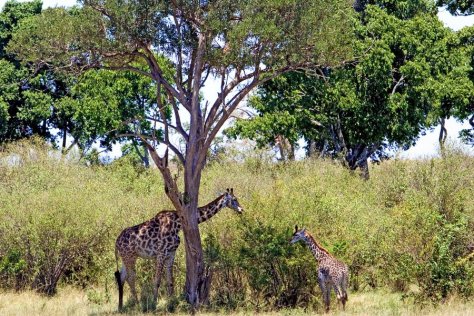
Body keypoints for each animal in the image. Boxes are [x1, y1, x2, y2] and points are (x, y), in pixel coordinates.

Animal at [113, 188, 243, 308]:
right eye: (234, 199)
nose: (242, 210)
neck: (178, 224)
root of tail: (116, 242)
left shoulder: (171, 253)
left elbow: (170, 281)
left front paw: (172, 302)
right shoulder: (161, 253)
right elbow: (157, 281)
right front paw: (154, 303)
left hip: (127, 258)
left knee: (122, 277)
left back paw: (120, 306)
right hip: (130, 257)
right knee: (130, 278)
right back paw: (137, 304)